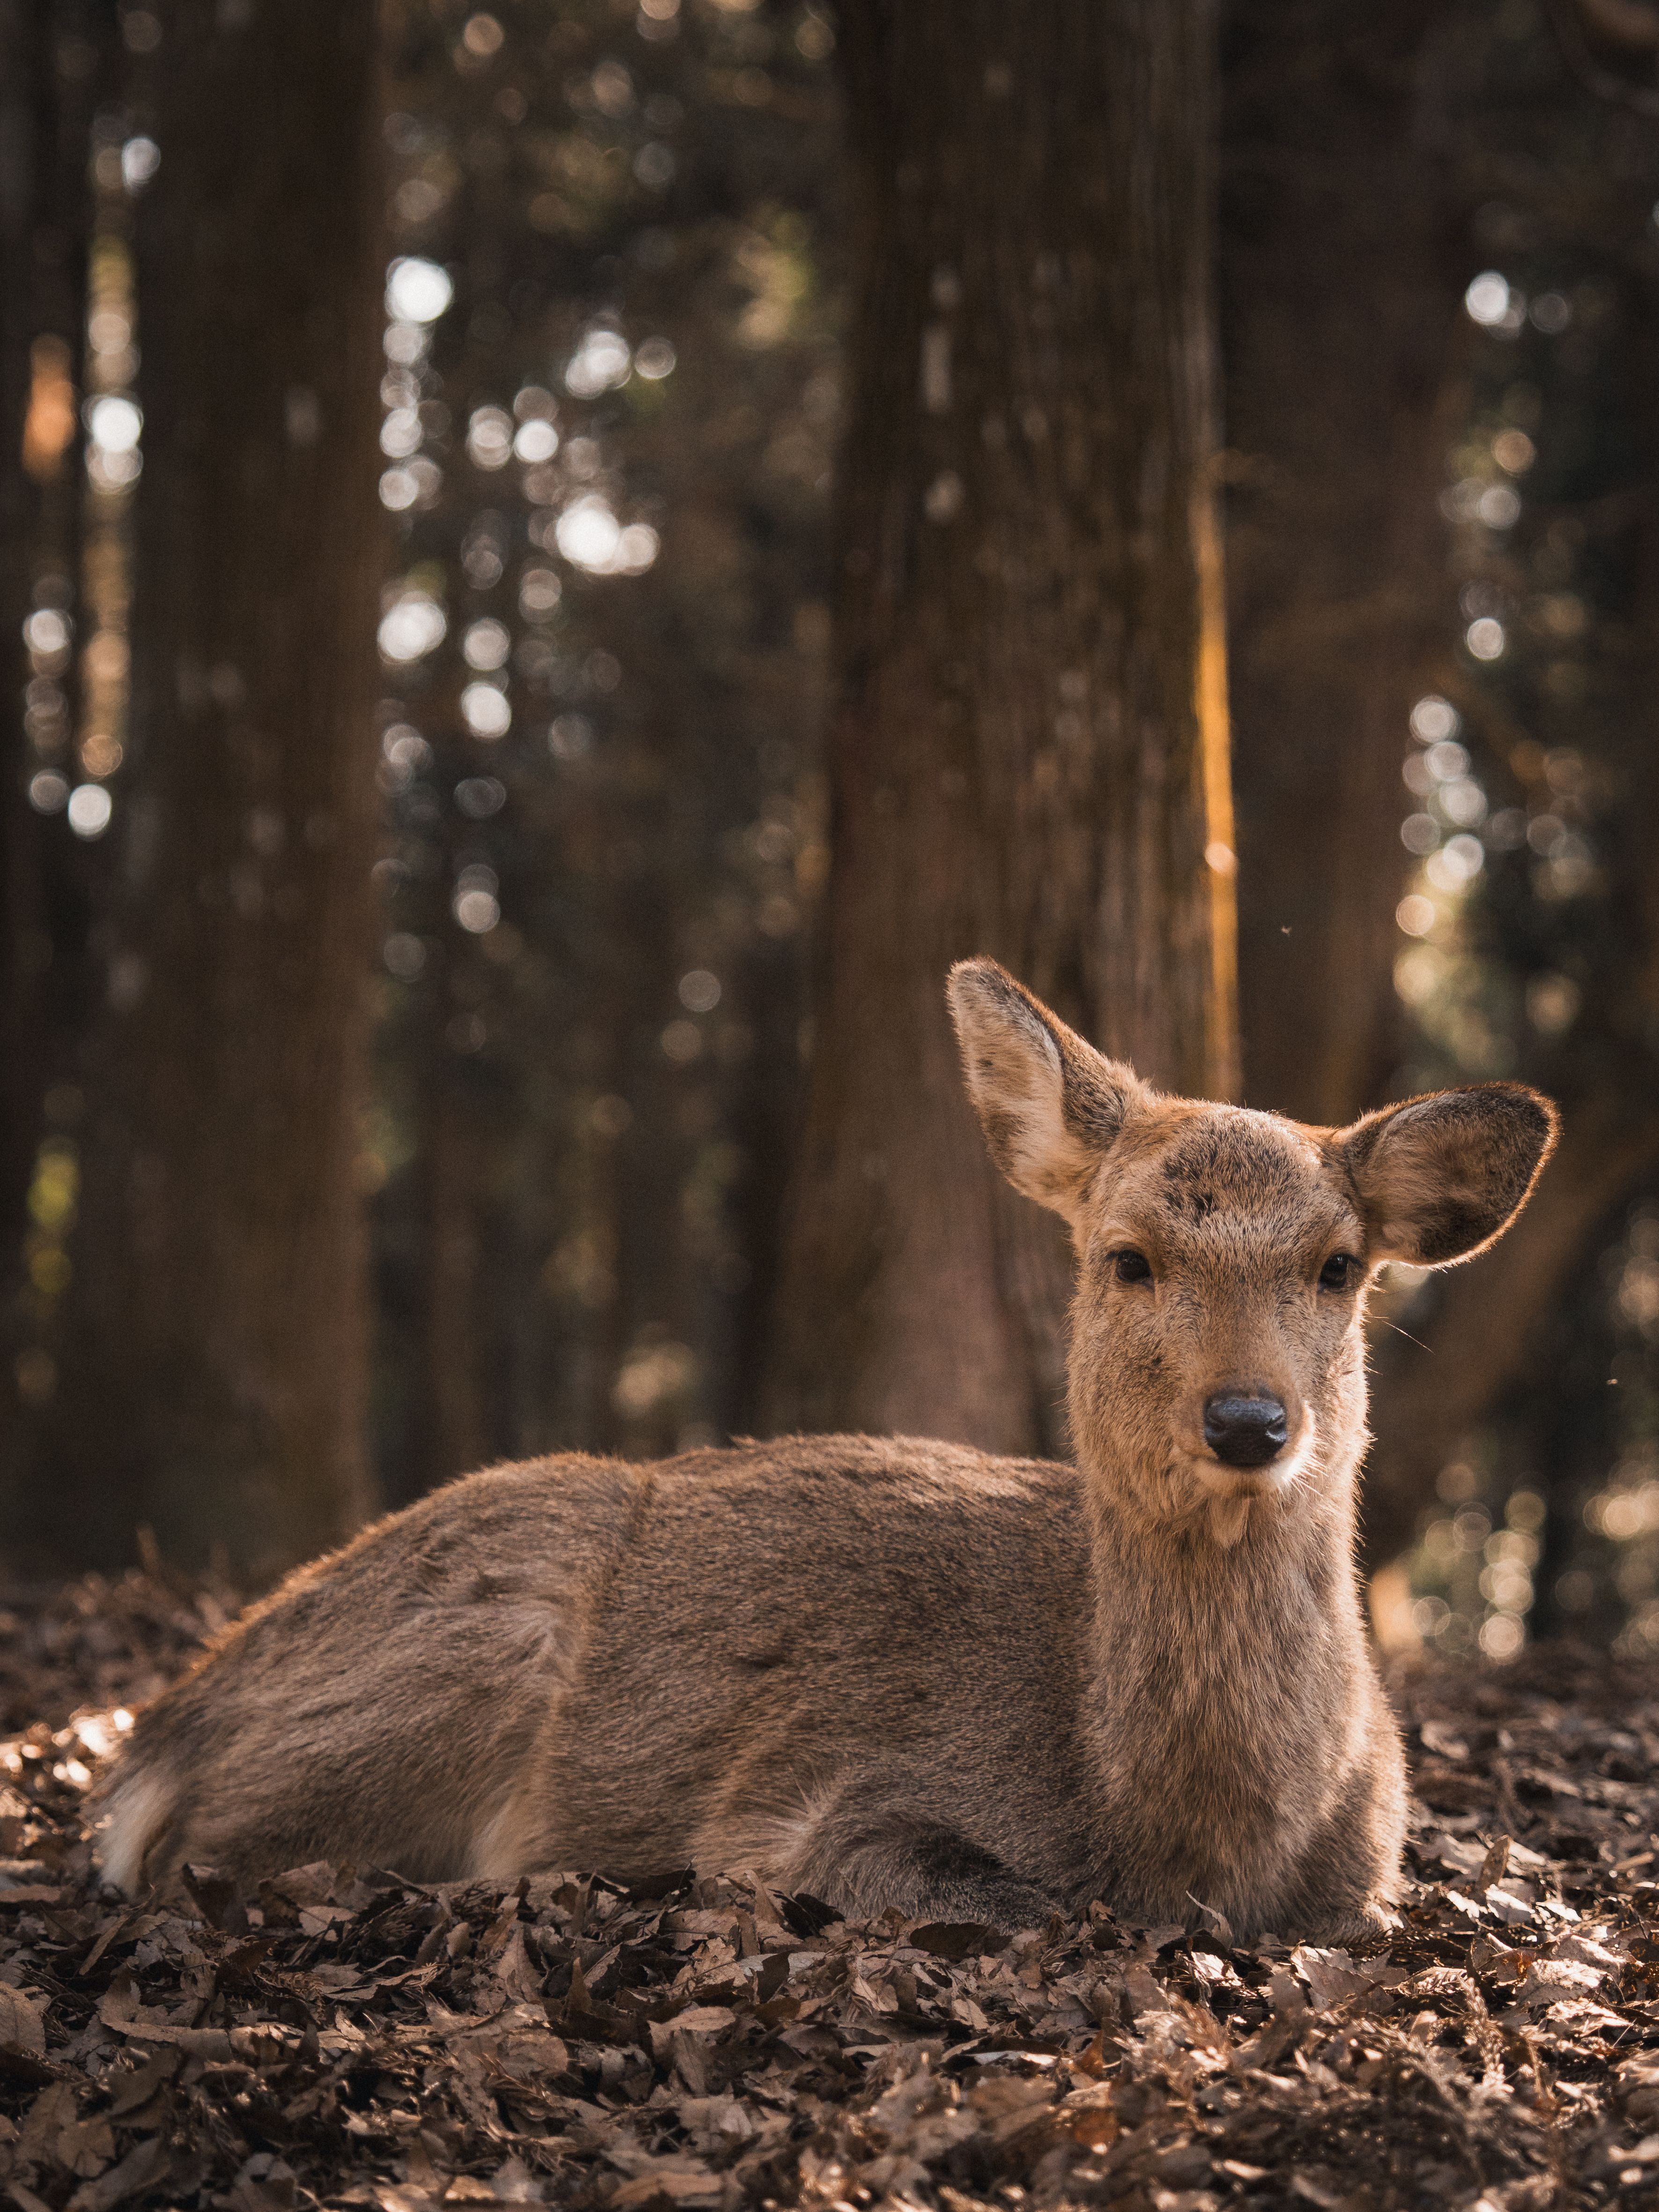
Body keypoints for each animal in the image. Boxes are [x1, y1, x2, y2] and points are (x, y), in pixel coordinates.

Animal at [93, 959, 1556, 1943]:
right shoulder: (823, 1799)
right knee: (217, 1849)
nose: (1248, 1421)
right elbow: (1008, 1900)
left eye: (1338, 1265)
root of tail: (157, 1728)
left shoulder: (1371, 1874)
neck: (1186, 1832)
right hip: (464, 1644)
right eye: (1126, 1255)